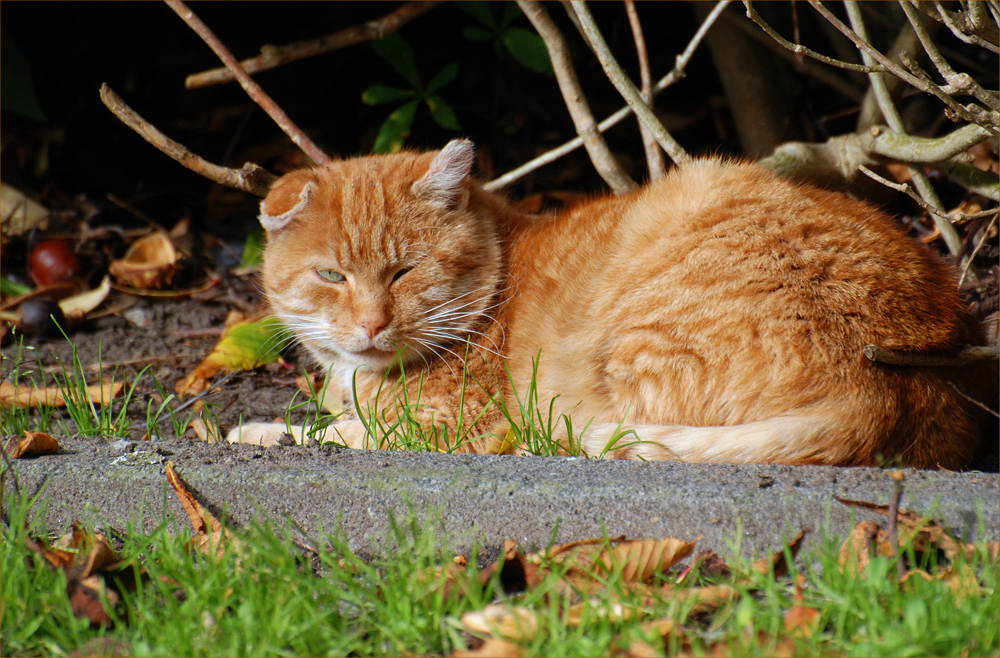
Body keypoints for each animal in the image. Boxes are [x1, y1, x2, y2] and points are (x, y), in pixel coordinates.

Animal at [232, 138, 992, 466]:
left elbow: (329, 434)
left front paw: (252, 431)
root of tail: (883, 382)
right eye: (331, 275)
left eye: (403, 272)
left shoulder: (447, 429)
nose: (370, 324)